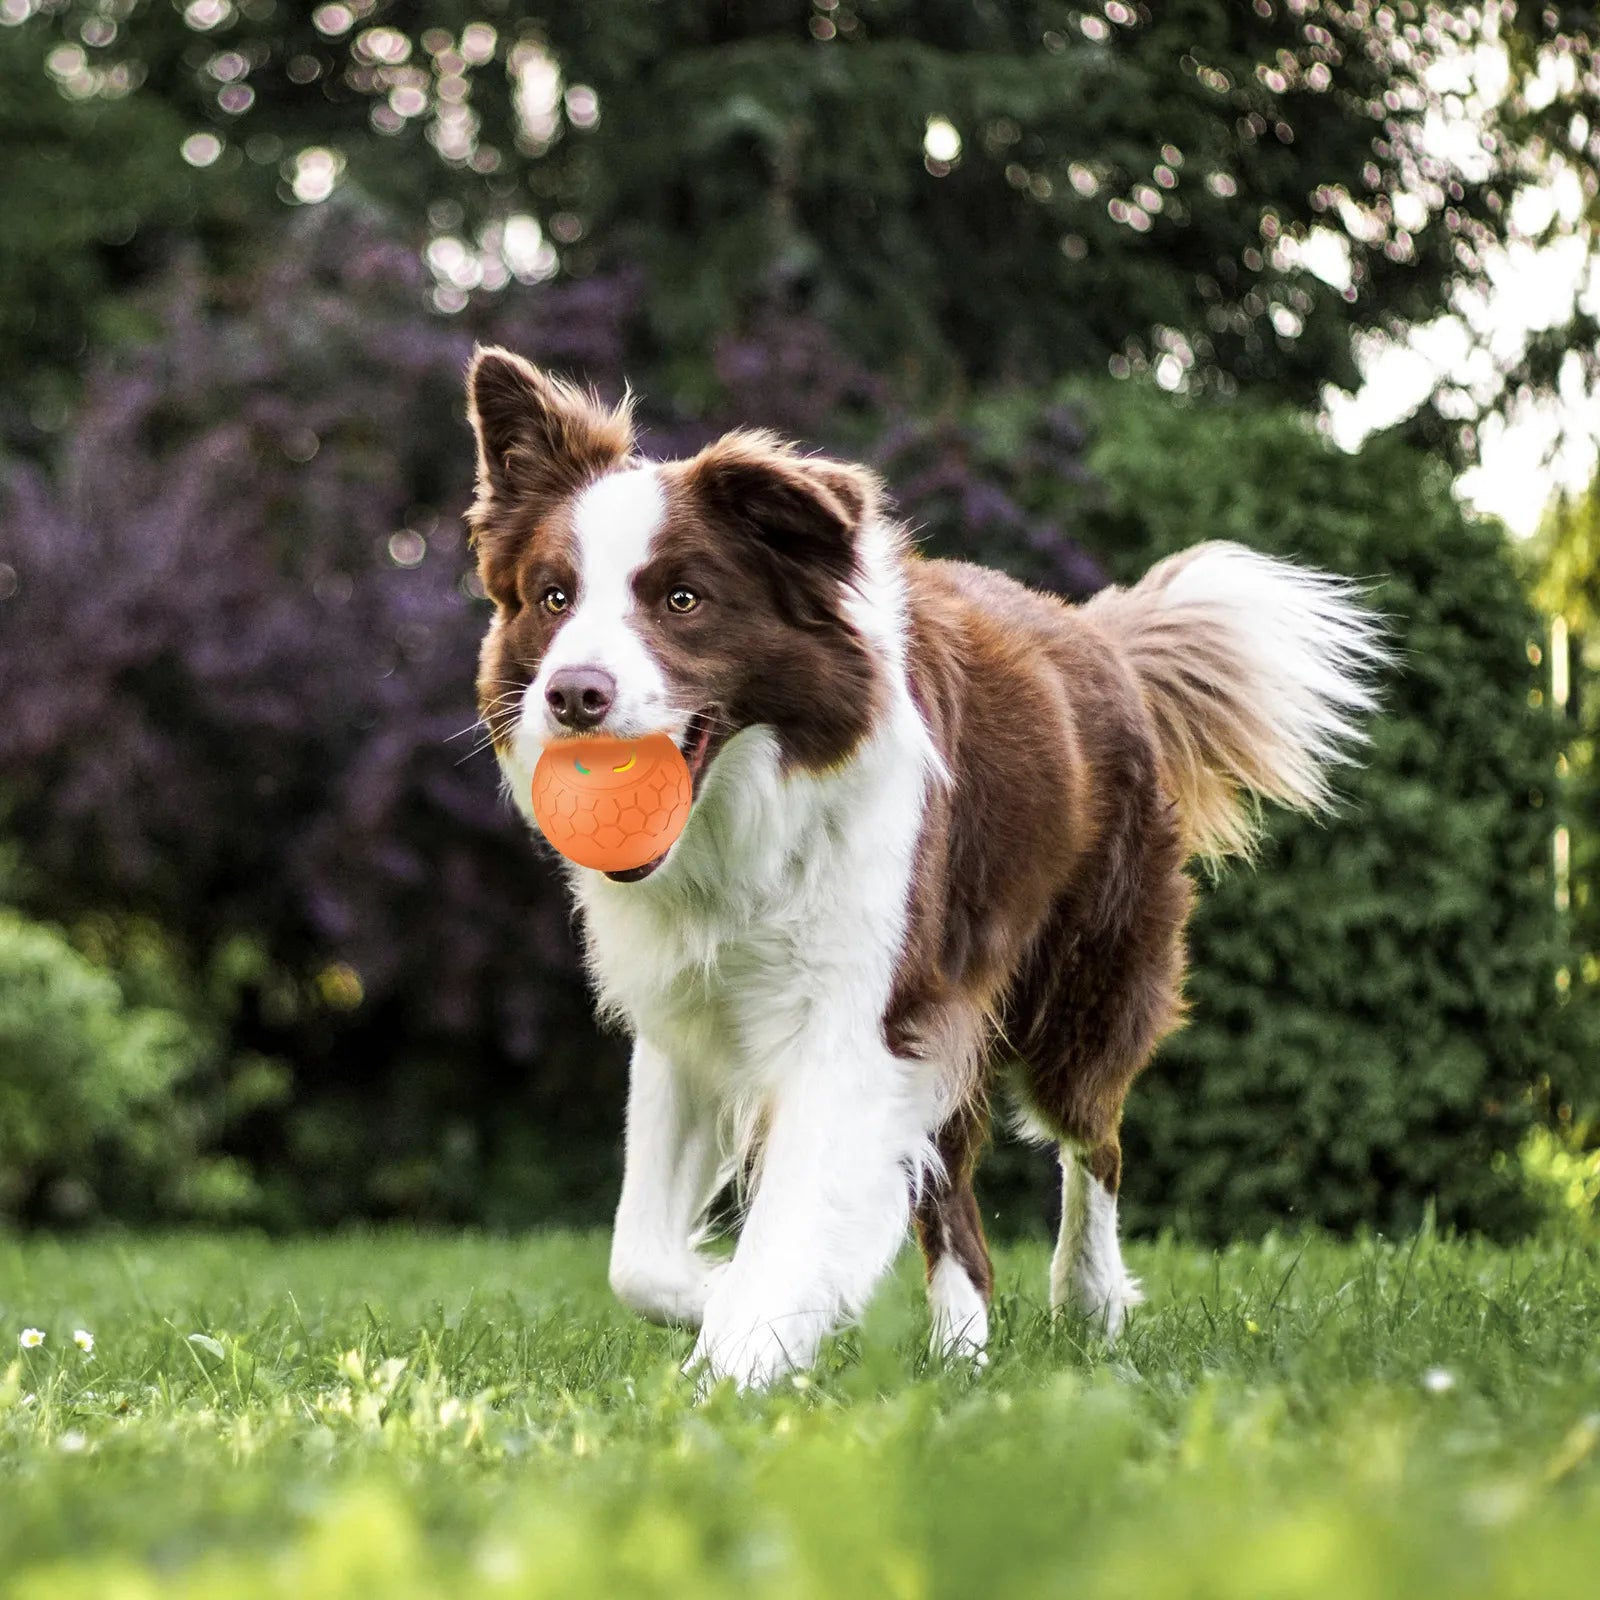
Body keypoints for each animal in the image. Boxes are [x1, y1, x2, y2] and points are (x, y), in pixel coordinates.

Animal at [467, 347, 1388, 1388]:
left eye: (683, 600)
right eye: (554, 598)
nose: (573, 695)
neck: (745, 821)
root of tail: (1099, 636)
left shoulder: (859, 1017)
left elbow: (791, 1220)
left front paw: (742, 1355)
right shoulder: (693, 1016)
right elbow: (639, 1259)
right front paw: (734, 1303)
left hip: (1080, 986)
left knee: (1094, 1140)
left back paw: (1088, 1299)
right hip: (951, 1013)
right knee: (957, 1206)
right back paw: (961, 1354)